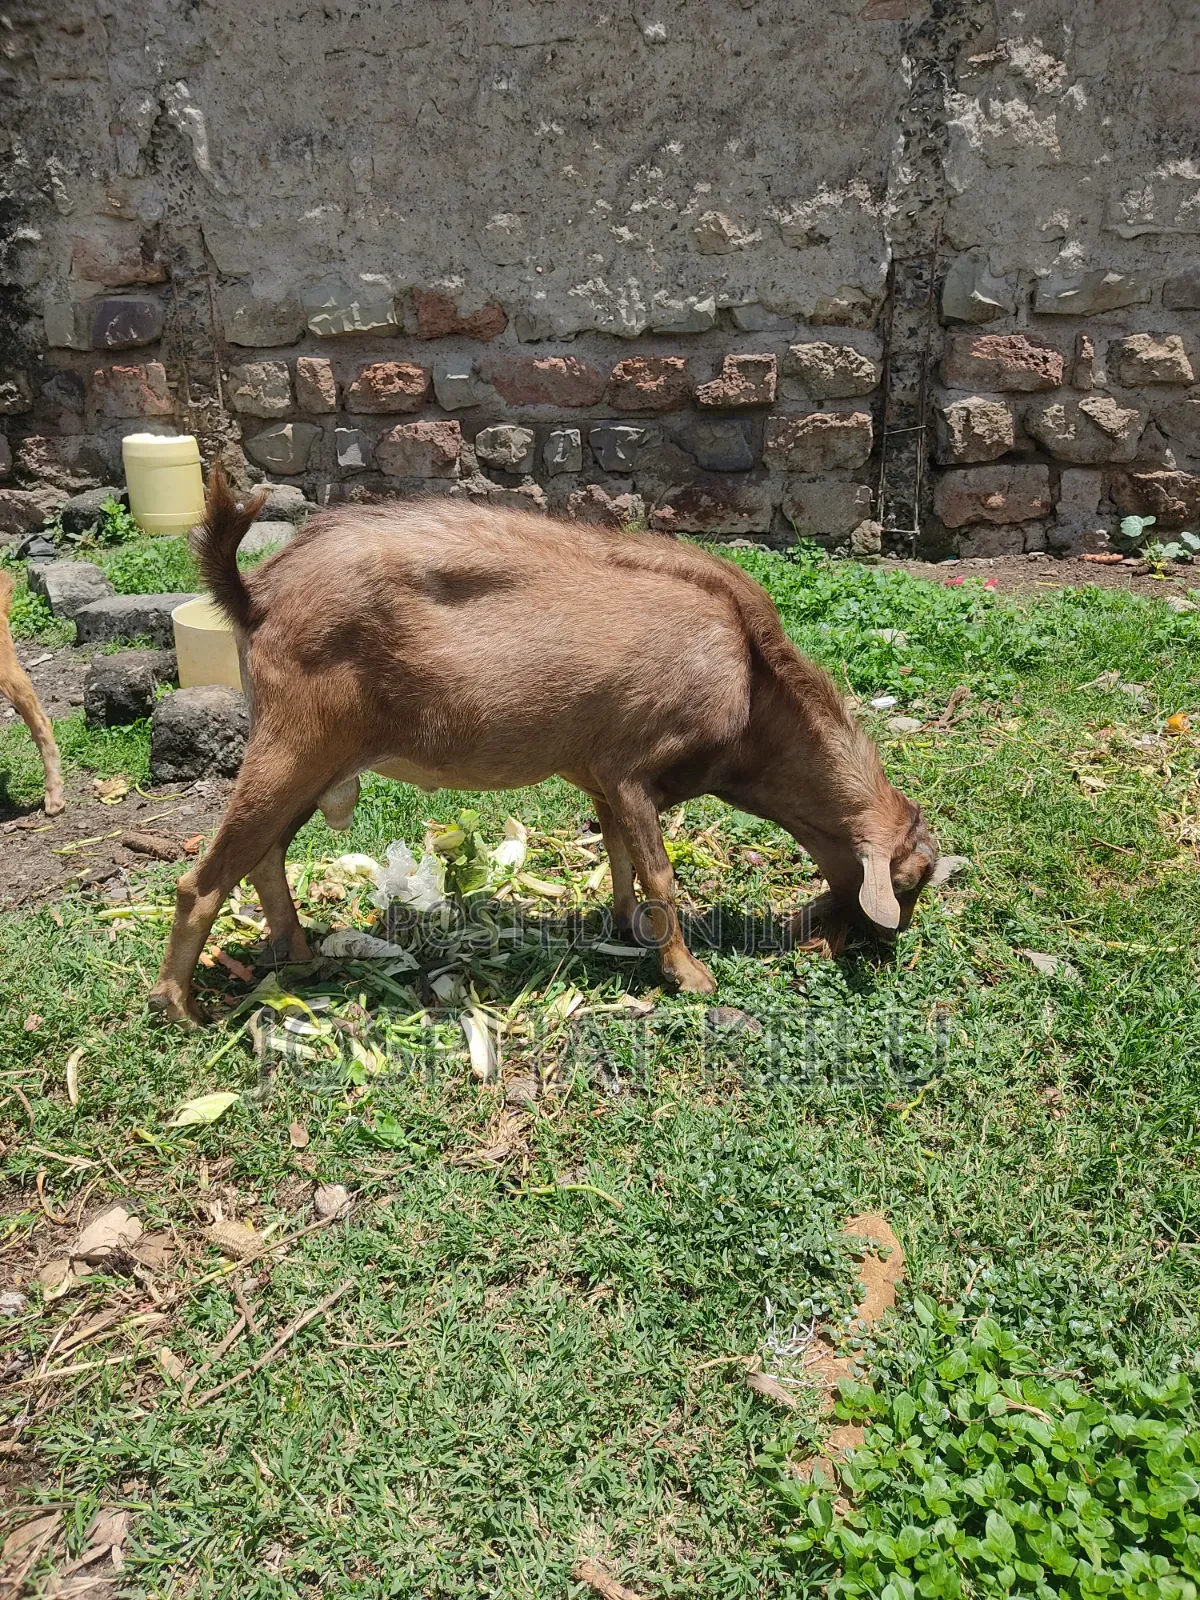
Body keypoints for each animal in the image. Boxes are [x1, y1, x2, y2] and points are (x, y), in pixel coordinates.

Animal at [149, 467, 938, 1025]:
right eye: (911, 881)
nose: (886, 944)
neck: (750, 678)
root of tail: (257, 595)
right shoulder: (635, 765)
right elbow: (660, 873)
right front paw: (688, 974)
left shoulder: (603, 778)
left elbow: (620, 855)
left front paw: (624, 926)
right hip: (296, 744)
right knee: (205, 879)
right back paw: (179, 1006)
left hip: (313, 761)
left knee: (266, 858)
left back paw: (302, 958)